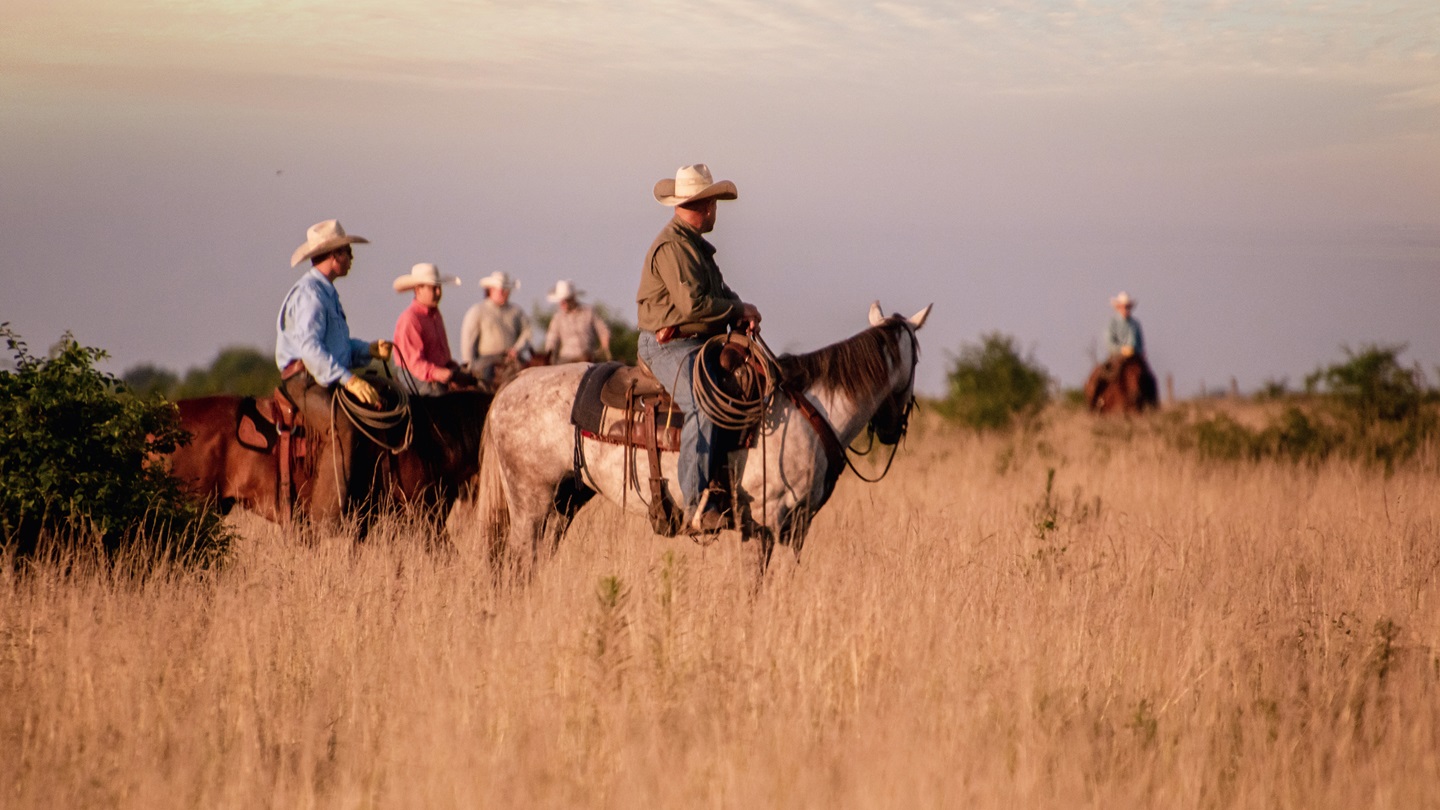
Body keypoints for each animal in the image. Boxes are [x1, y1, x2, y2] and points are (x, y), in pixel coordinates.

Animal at [472, 298, 921, 579]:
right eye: (917, 357)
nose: (892, 428)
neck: (812, 409)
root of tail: (513, 385)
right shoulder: (769, 521)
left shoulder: (793, 526)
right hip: (530, 503)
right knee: (517, 566)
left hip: (565, 501)